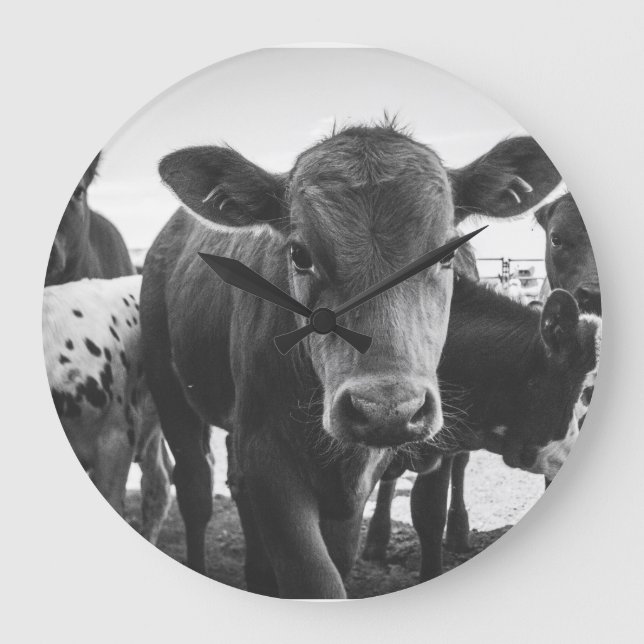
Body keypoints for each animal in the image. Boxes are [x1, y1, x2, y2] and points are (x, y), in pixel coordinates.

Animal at [140, 122, 561, 598]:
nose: (385, 409)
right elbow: (315, 577)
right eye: (299, 254)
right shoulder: (267, 455)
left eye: (447, 254)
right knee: (194, 487)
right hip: (169, 388)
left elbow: (347, 555)